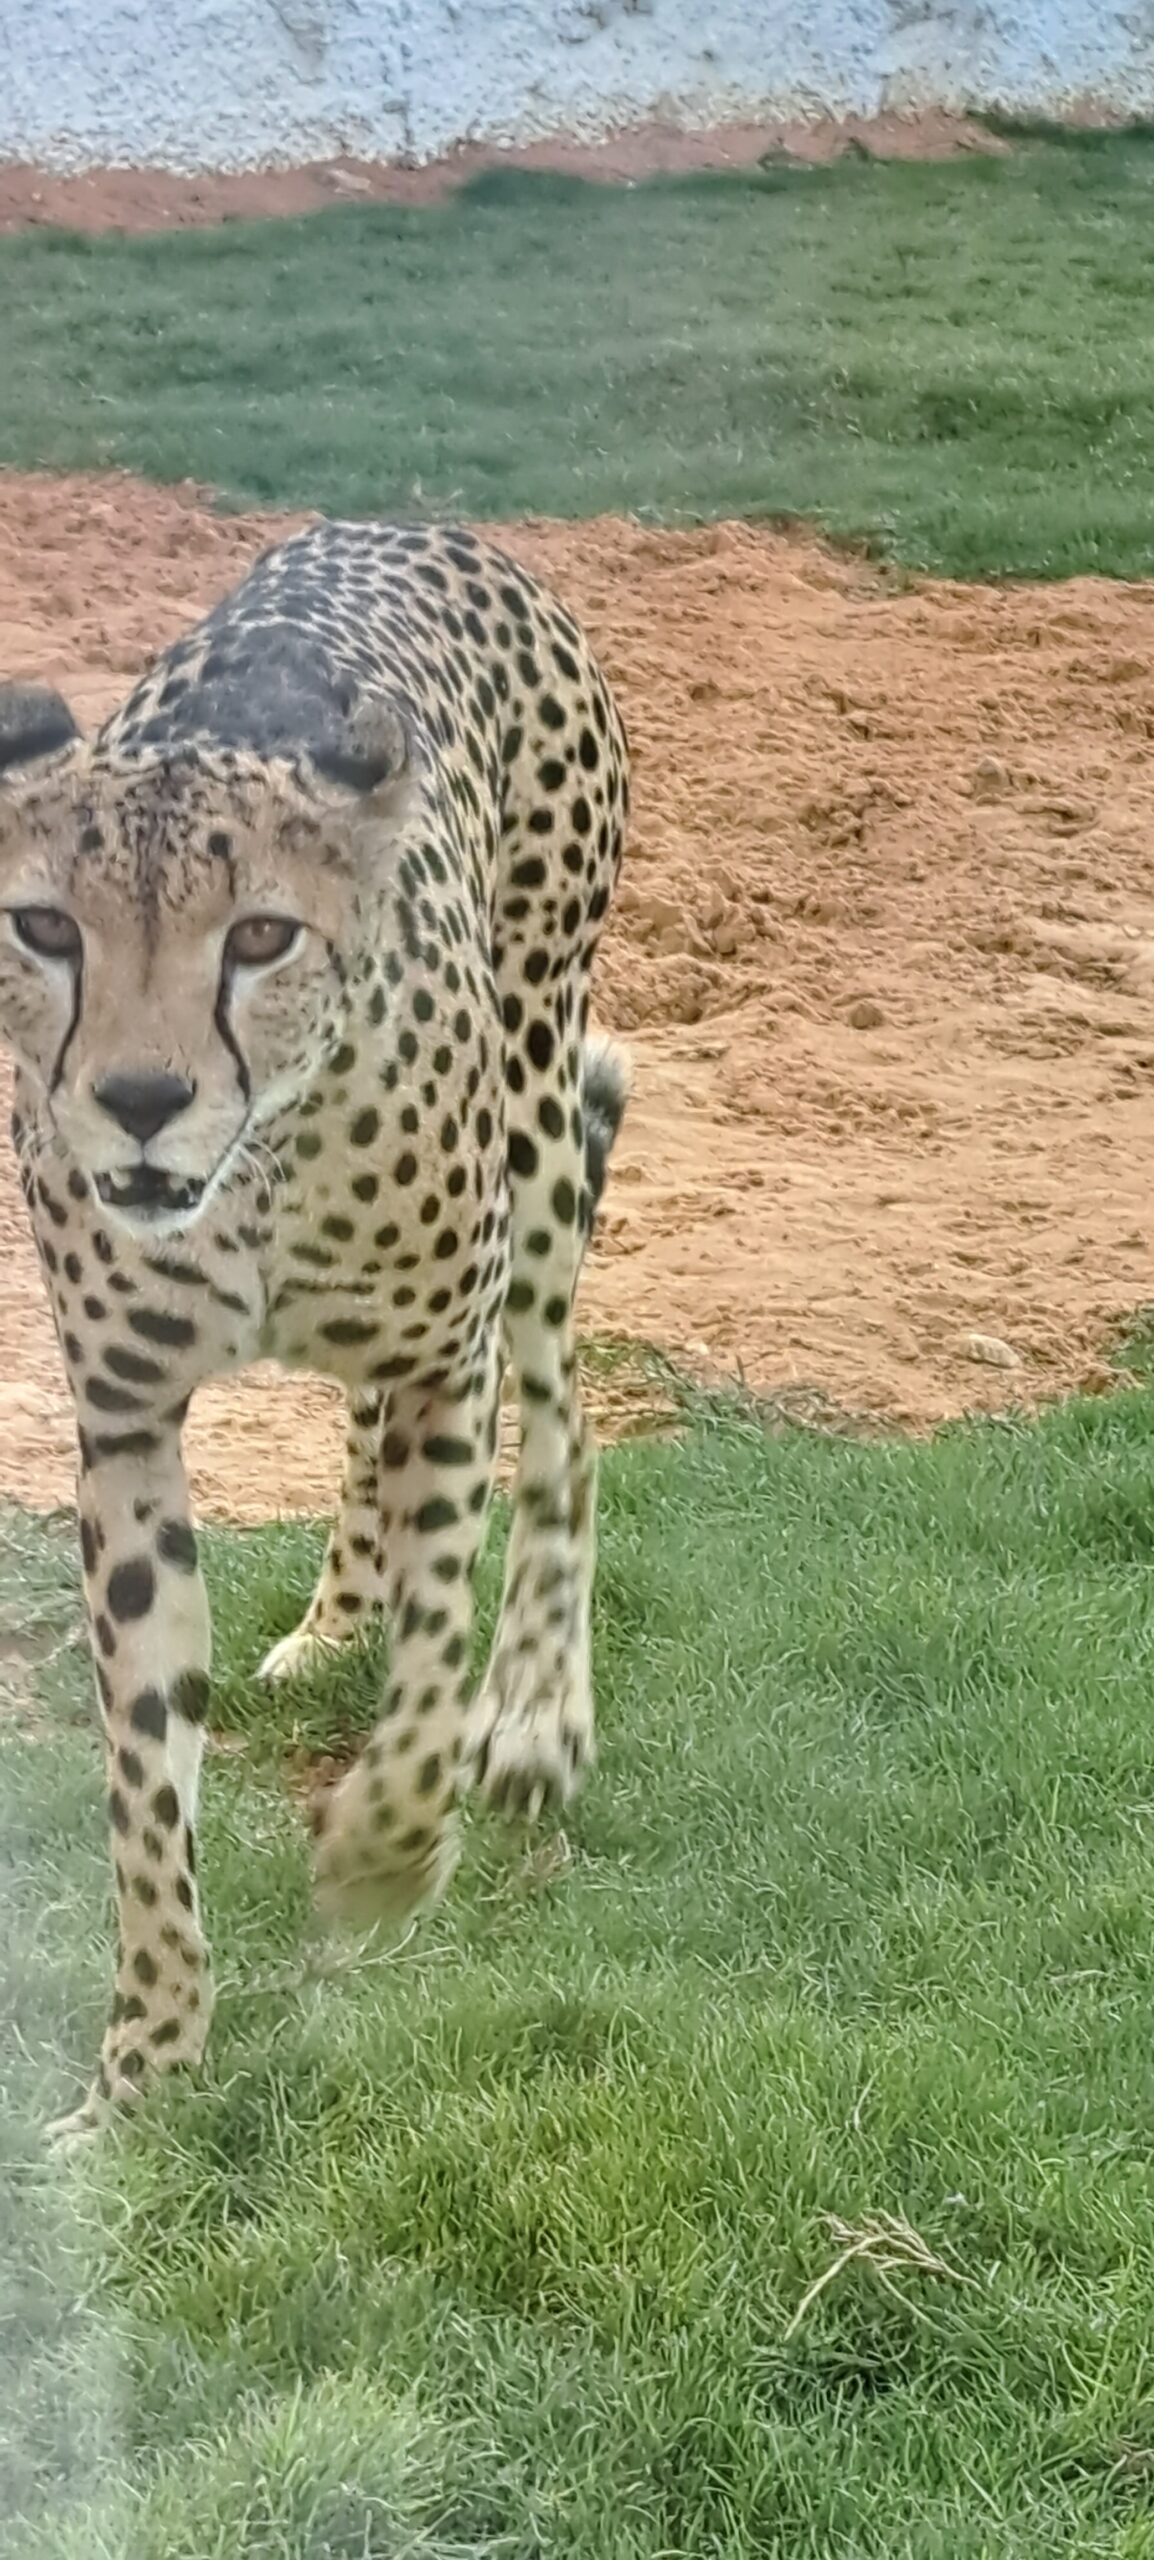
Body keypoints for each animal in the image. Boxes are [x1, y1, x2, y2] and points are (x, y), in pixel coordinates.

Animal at [0, 517, 630, 2141]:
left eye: (262, 939)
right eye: (45, 928)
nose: (138, 1101)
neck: (256, 1177)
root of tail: (413, 522)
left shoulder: (440, 1362)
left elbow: (431, 1664)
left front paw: (380, 1860)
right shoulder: (122, 1428)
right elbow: (144, 1776)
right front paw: (145, 2069)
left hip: (540, 1129)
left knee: (565, 1430)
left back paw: (536, 1717)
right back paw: (333, 1616)